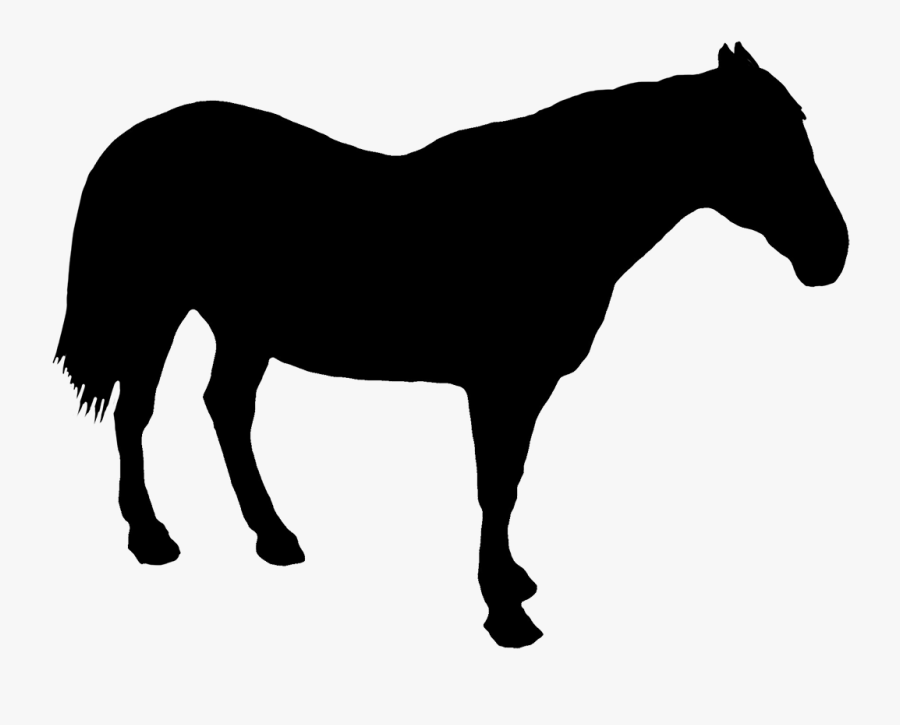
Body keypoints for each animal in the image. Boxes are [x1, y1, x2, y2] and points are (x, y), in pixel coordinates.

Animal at [55, 43, 848, 647]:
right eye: (763, 142)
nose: (832, 253)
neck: (552, 210)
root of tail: (141, 139)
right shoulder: (501, 385)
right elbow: (495, 486)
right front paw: (505, 612)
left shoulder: (522, 389)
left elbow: (511, 484)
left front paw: (514, 581)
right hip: (157, 309)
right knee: (137, 412)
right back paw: (151, 536)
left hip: (243, 325)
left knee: (226, 409)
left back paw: (274, 536)